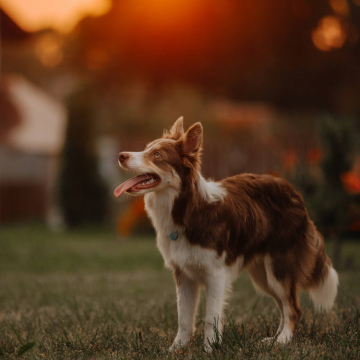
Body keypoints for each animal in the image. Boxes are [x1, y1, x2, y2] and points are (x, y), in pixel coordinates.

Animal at [114, 118, 338, 352]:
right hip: (263, 274)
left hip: (279, 267)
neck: (186, 209)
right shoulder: (183, 274)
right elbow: (184, 318)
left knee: (293, 308)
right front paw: (176, 350)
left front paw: (210, 350)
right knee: (284, 307)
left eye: (157, 154)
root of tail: (293, 191)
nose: (121, 155)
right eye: (147, 148)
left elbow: (210, 317)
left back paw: (283, 341)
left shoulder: (216, 274)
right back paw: (274, 339)